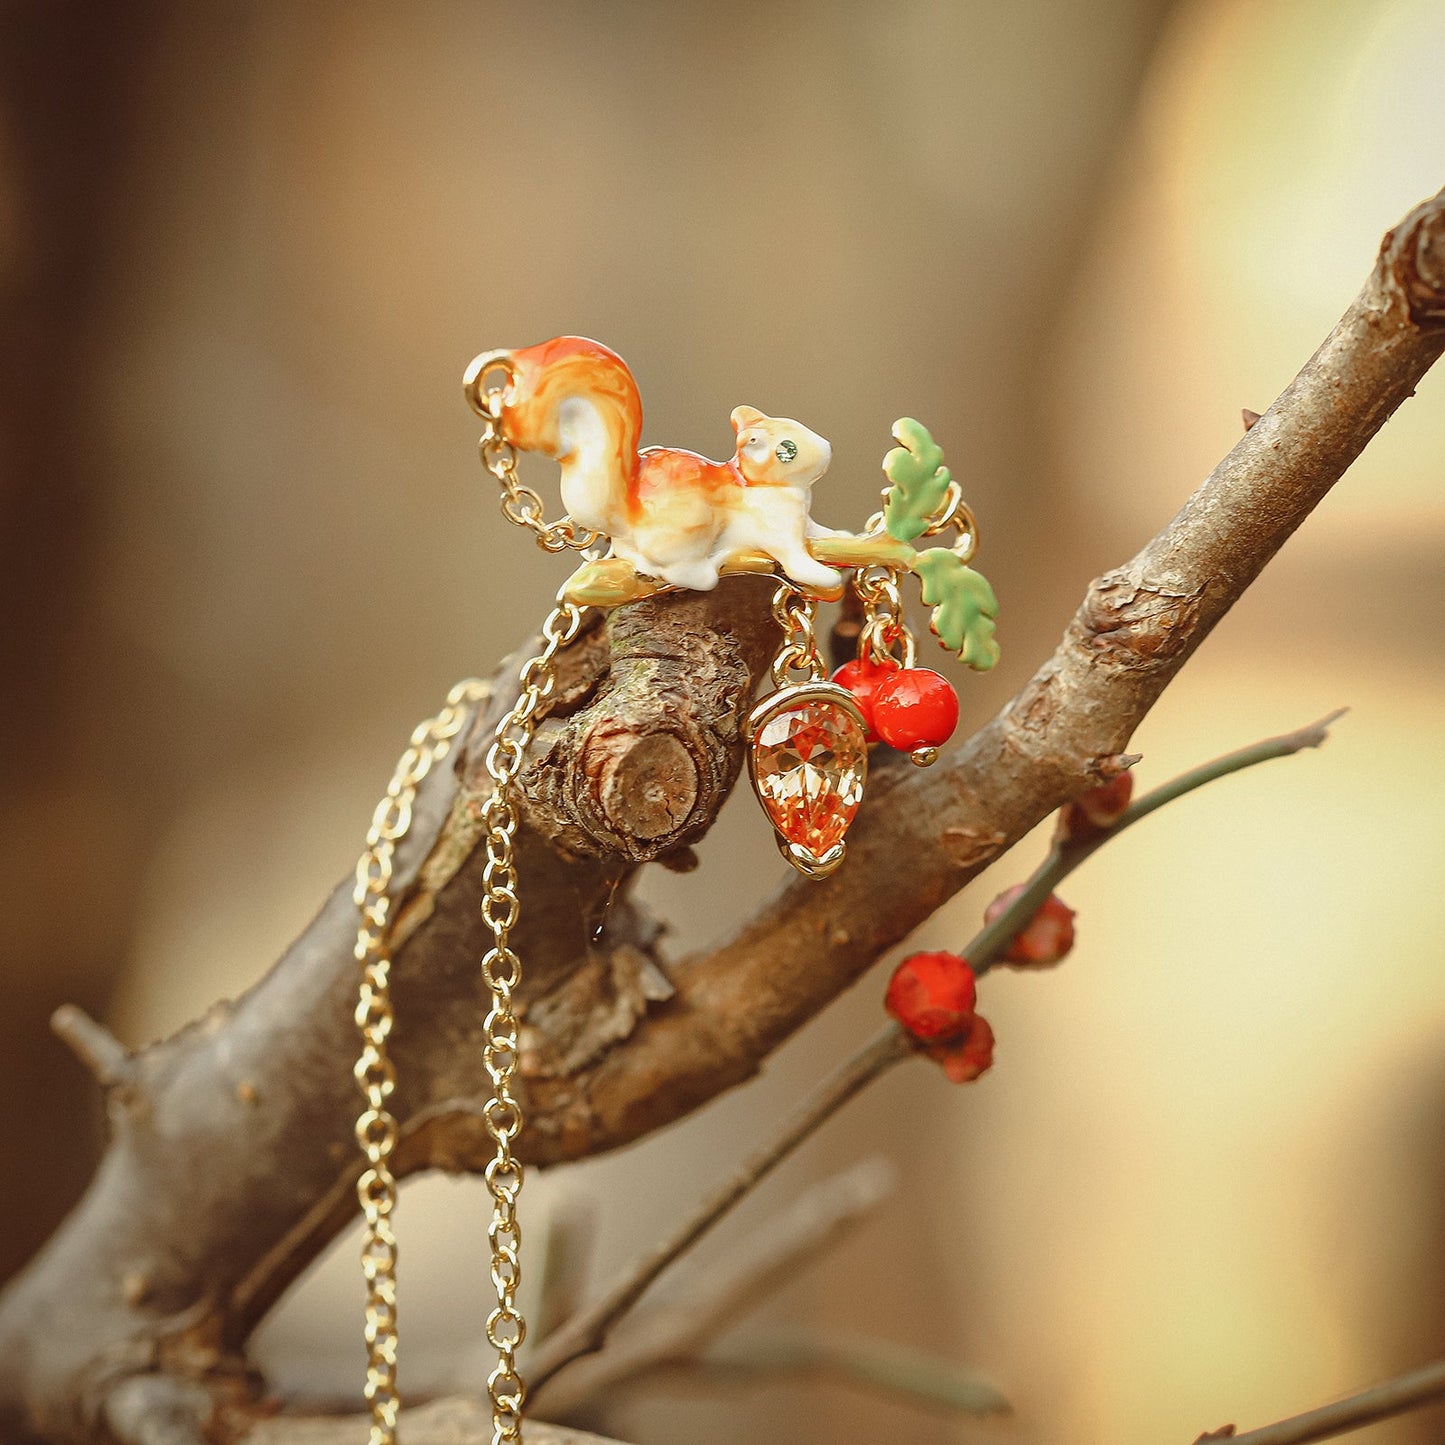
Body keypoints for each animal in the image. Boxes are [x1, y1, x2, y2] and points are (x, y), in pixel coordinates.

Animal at [494, 335, 842, 593]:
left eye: (796, 425)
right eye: (788, 449)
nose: (827, 447)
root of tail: (629, 508)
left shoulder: (805, 523)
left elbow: (822, 533)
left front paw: (841, 536)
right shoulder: (780, 533)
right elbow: (798, 563)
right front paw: (827, 578)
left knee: (631, 552)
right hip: (691, 529)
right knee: (684, 574)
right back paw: (712, 566)